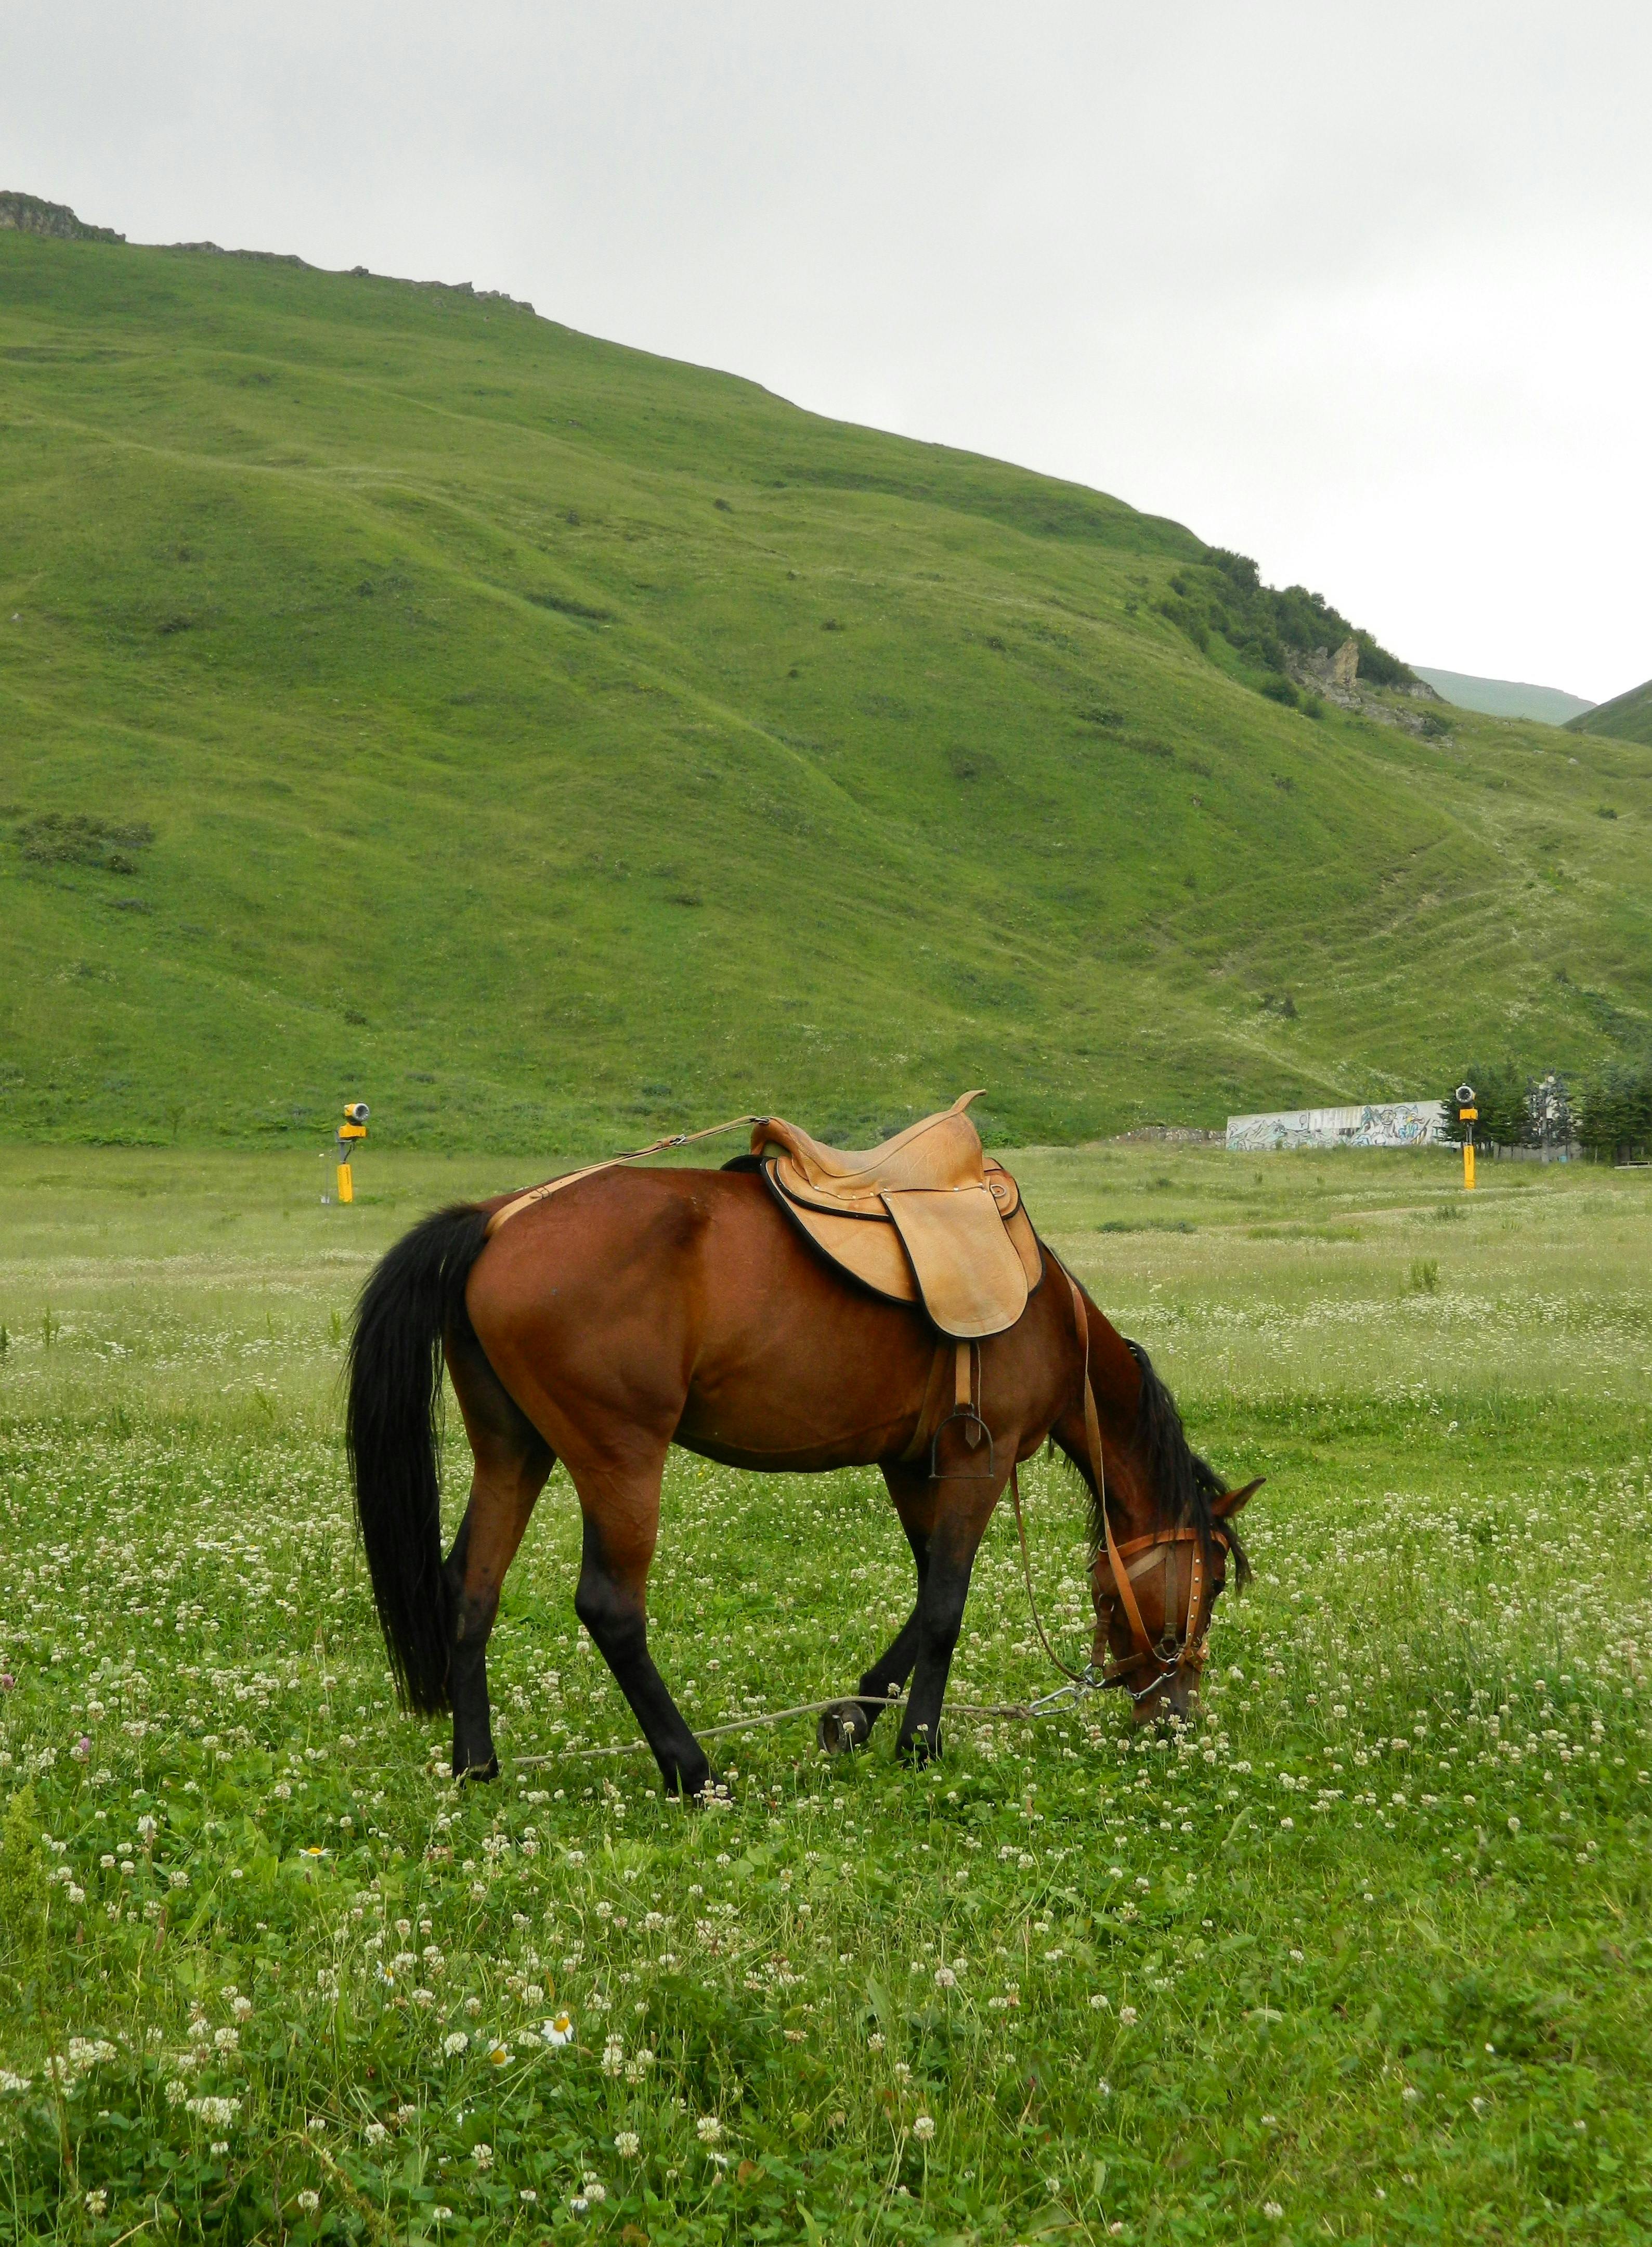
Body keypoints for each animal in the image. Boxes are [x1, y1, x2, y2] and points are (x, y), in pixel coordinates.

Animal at [345, 1162, 1258, 1793]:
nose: (1177, 1717)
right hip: (620, 1457)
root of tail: (496, 1220)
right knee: (610, 1608)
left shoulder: (911, 1465)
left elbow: (926, 1593)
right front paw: (917, 1744)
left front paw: (855, 1717)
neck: (1043, 1314)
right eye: (1210, 1584)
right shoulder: (980, 1462)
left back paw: (477, 1766)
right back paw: (691, 1771)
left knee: (470, 1588)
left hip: (514, 1448)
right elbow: (946, 1608)